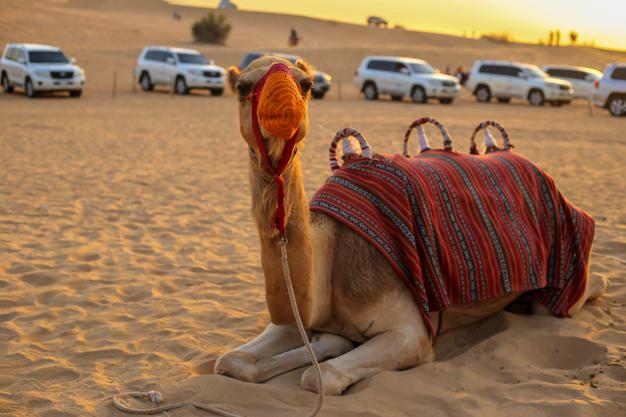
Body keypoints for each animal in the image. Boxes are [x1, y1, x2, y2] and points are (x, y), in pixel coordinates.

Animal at [213, 56, 604, 394]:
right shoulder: (295, 318)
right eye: (243, 87)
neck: (331, 260)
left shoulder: (411, 333)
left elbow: (320, 376)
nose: (284, 109)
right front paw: (329, 340)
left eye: (306, 84)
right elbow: (230, 361)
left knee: (586, 286)